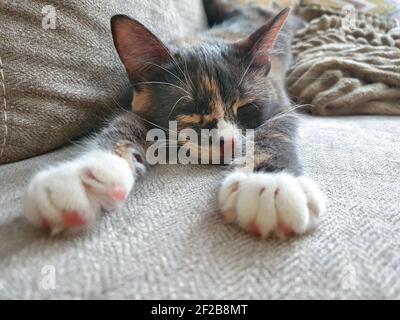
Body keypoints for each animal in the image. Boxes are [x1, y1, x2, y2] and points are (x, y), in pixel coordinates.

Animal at [22, 1, 324, 239]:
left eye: (246, 107)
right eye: (190, 111)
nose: (228, 142)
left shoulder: (281, 104)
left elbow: (274, 132)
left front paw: (271, 183)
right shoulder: (138, 106)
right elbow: (123, 124)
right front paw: (84, 174)